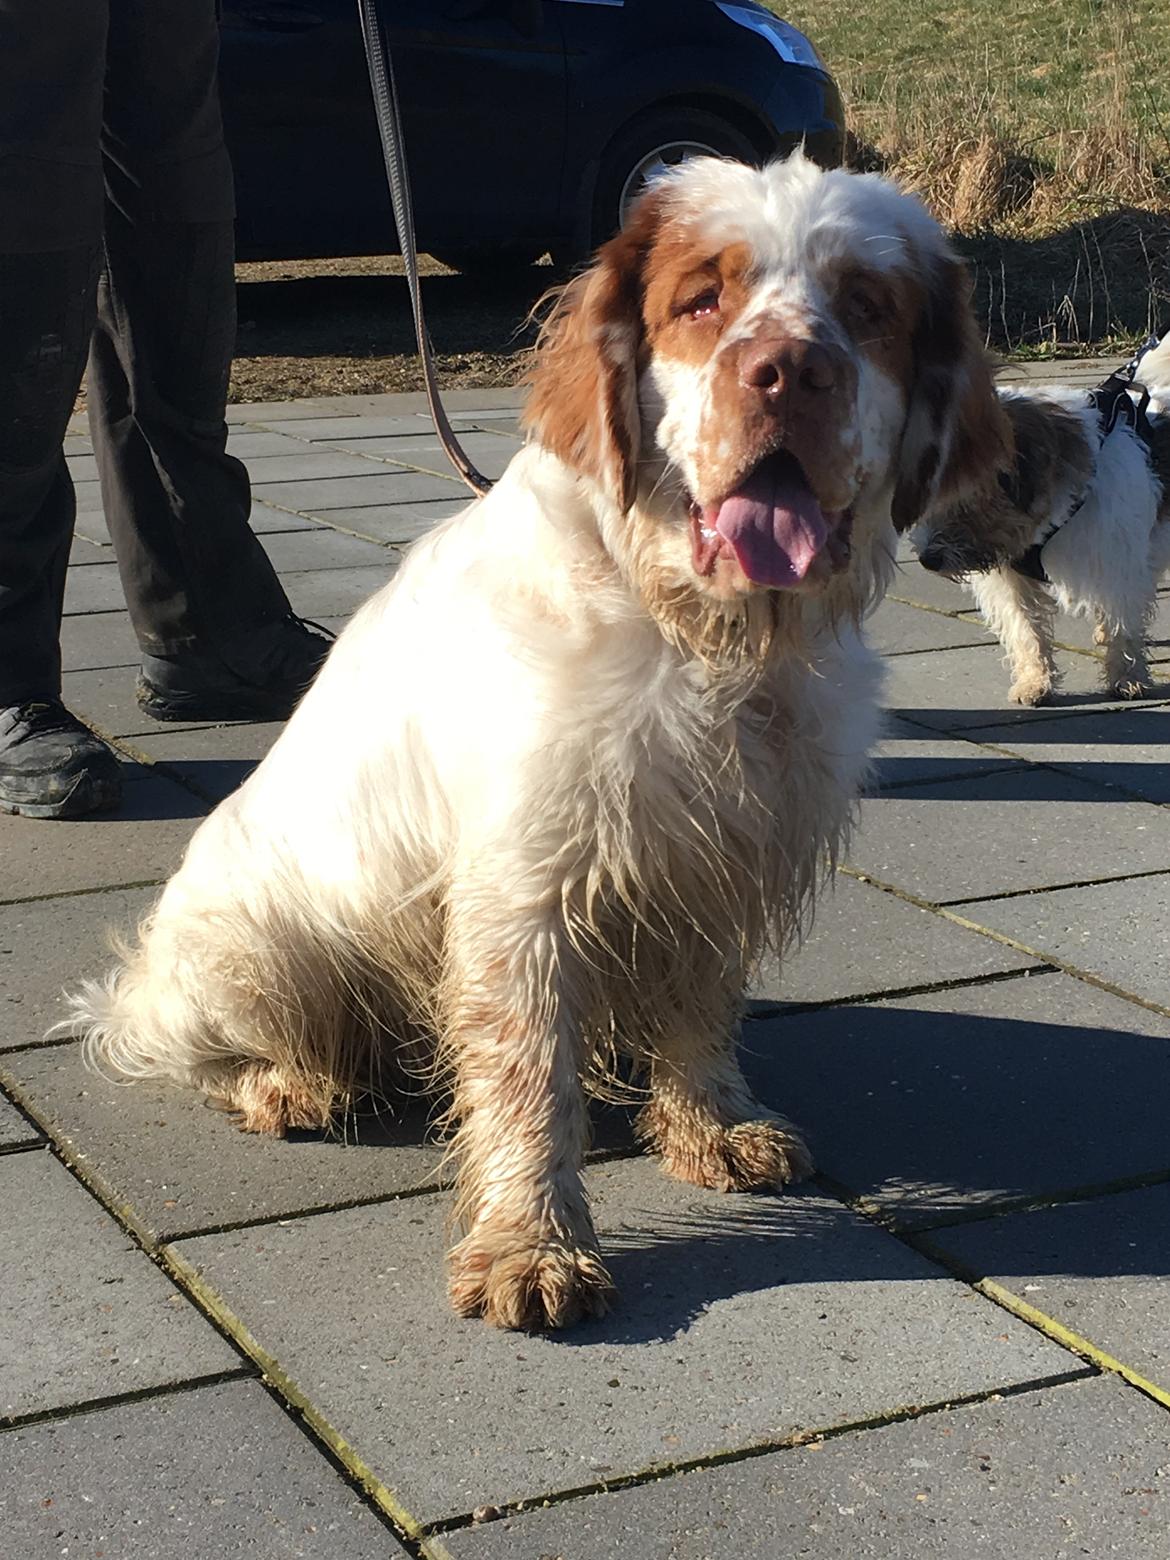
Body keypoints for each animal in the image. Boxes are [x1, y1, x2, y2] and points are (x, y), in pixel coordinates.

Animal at [68, 155, 1010, 1329]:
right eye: (702, 301)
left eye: (868, 308)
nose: (789, 372)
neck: (699, 634)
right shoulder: (527, 889)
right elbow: (525, 1080)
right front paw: (533, 1246)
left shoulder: (721, 850)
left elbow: (702, 1007)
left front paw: (709, 1126)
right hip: (259, 950)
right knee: (191, 1047)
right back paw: (290, 1083)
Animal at [917, 338, 1170, 711]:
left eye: (964, 495)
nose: (927, 559)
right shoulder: (1011, 578)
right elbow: (1025, 629)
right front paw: (1035, 681)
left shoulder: (1115, 564)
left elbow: (1122, 623)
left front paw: (1127, 679)